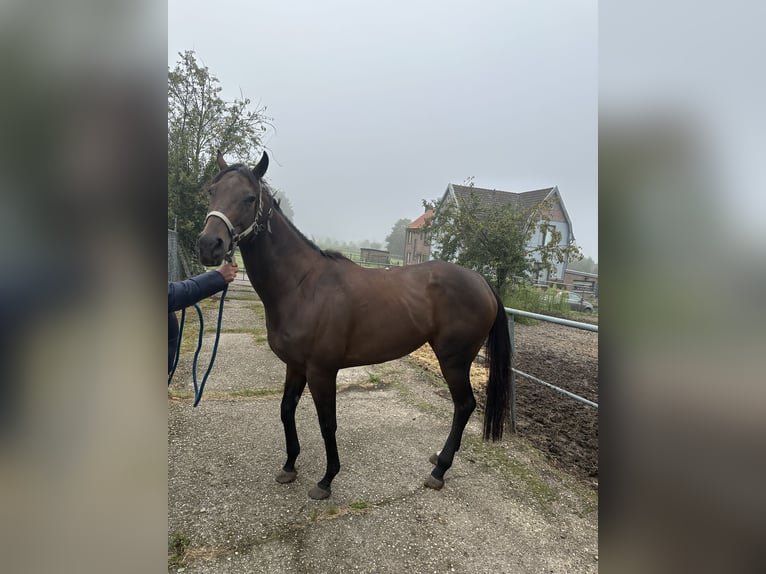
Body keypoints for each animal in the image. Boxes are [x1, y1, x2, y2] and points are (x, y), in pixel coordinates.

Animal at [198, 151, 510, 502]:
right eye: (212, 191)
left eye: (249, 198)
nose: (208, 245)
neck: (302, 285)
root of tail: (481, 281)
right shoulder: (295, 365)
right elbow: (286, 409)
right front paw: (290, 465)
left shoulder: (322, 371)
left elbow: (327, 423)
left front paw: (326, 480)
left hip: (454, 361)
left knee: (464, 405)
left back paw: (439, 471)